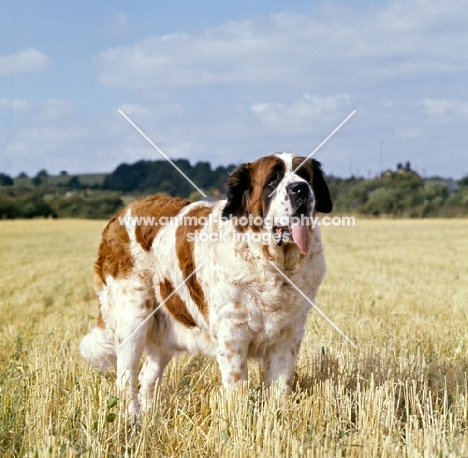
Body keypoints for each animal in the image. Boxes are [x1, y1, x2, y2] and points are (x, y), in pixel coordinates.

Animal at [82, 152, 334, 414]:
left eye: (306, 176)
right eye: (273, 180)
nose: (300, 188)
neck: (273, 264)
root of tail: (122, 213)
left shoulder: (288, 336)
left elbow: (279, 388)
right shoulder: (233, 334)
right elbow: (237, 387)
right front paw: (239, 419)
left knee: (148, 376)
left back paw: (149, 416)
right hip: (134, 316)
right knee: (126, 377)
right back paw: (131, 417)